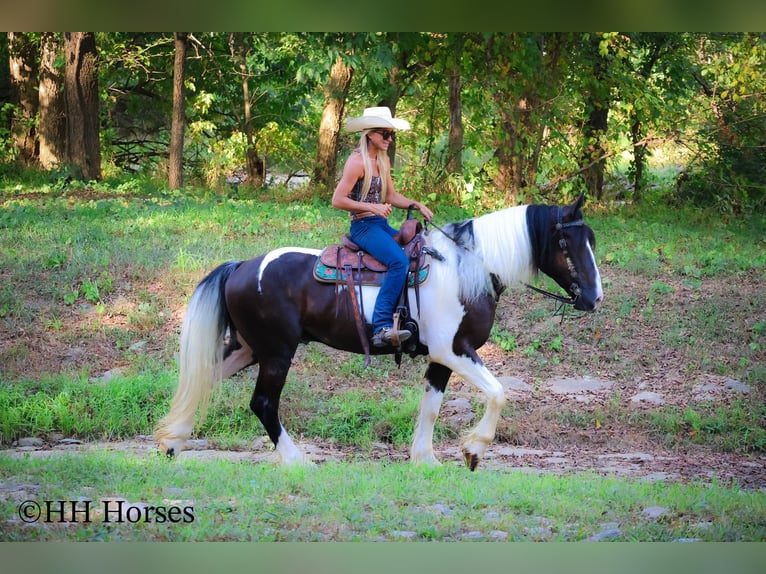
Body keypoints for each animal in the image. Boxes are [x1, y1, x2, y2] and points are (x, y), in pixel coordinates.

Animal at [154, 193, 603, 470]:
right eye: (566, 242)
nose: (595, 297)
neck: (465, 269)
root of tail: (241, 267)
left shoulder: (442, 358)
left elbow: (431, 406)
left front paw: (424, 460)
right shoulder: (455, 350)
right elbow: (498, 392)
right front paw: (473, 451)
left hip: (249, 349)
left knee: (203, 380)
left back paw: (172, 442)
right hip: (277, 353)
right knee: (264, 404)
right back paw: (298, 462)